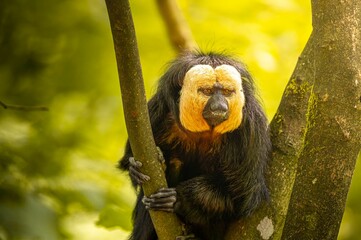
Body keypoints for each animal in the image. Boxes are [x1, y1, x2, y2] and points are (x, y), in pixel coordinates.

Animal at [119, 51, 270, 240]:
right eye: (207, 91)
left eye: (227, 92)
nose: (220, 106)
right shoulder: (155, 111)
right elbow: (128, 159)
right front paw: (135, 168)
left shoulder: (252, 127)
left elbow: (241, 193)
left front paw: (179, 199)